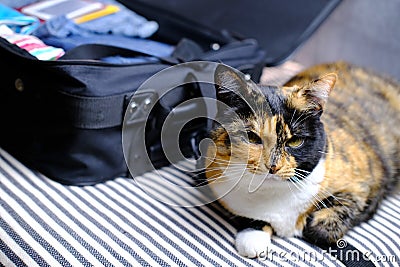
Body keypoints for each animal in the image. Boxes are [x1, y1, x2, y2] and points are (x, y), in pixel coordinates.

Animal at [206, 61, 400, 258]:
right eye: (252, 137)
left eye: (295, 141)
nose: (273, 166)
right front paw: (253, 236)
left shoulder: (369, 183)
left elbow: (339, 214)